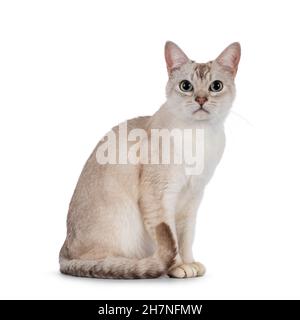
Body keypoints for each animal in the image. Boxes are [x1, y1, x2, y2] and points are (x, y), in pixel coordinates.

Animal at [59, 41, 241, 278]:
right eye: (186, 86)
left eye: (216, 86)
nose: (201, 99)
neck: (199, 137)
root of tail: (63, 248)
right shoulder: (159, 197)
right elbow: (172, 239)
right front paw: (179, 267)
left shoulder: (193, 197)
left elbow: (185, 238)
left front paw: (191, 263)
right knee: (107, 262)